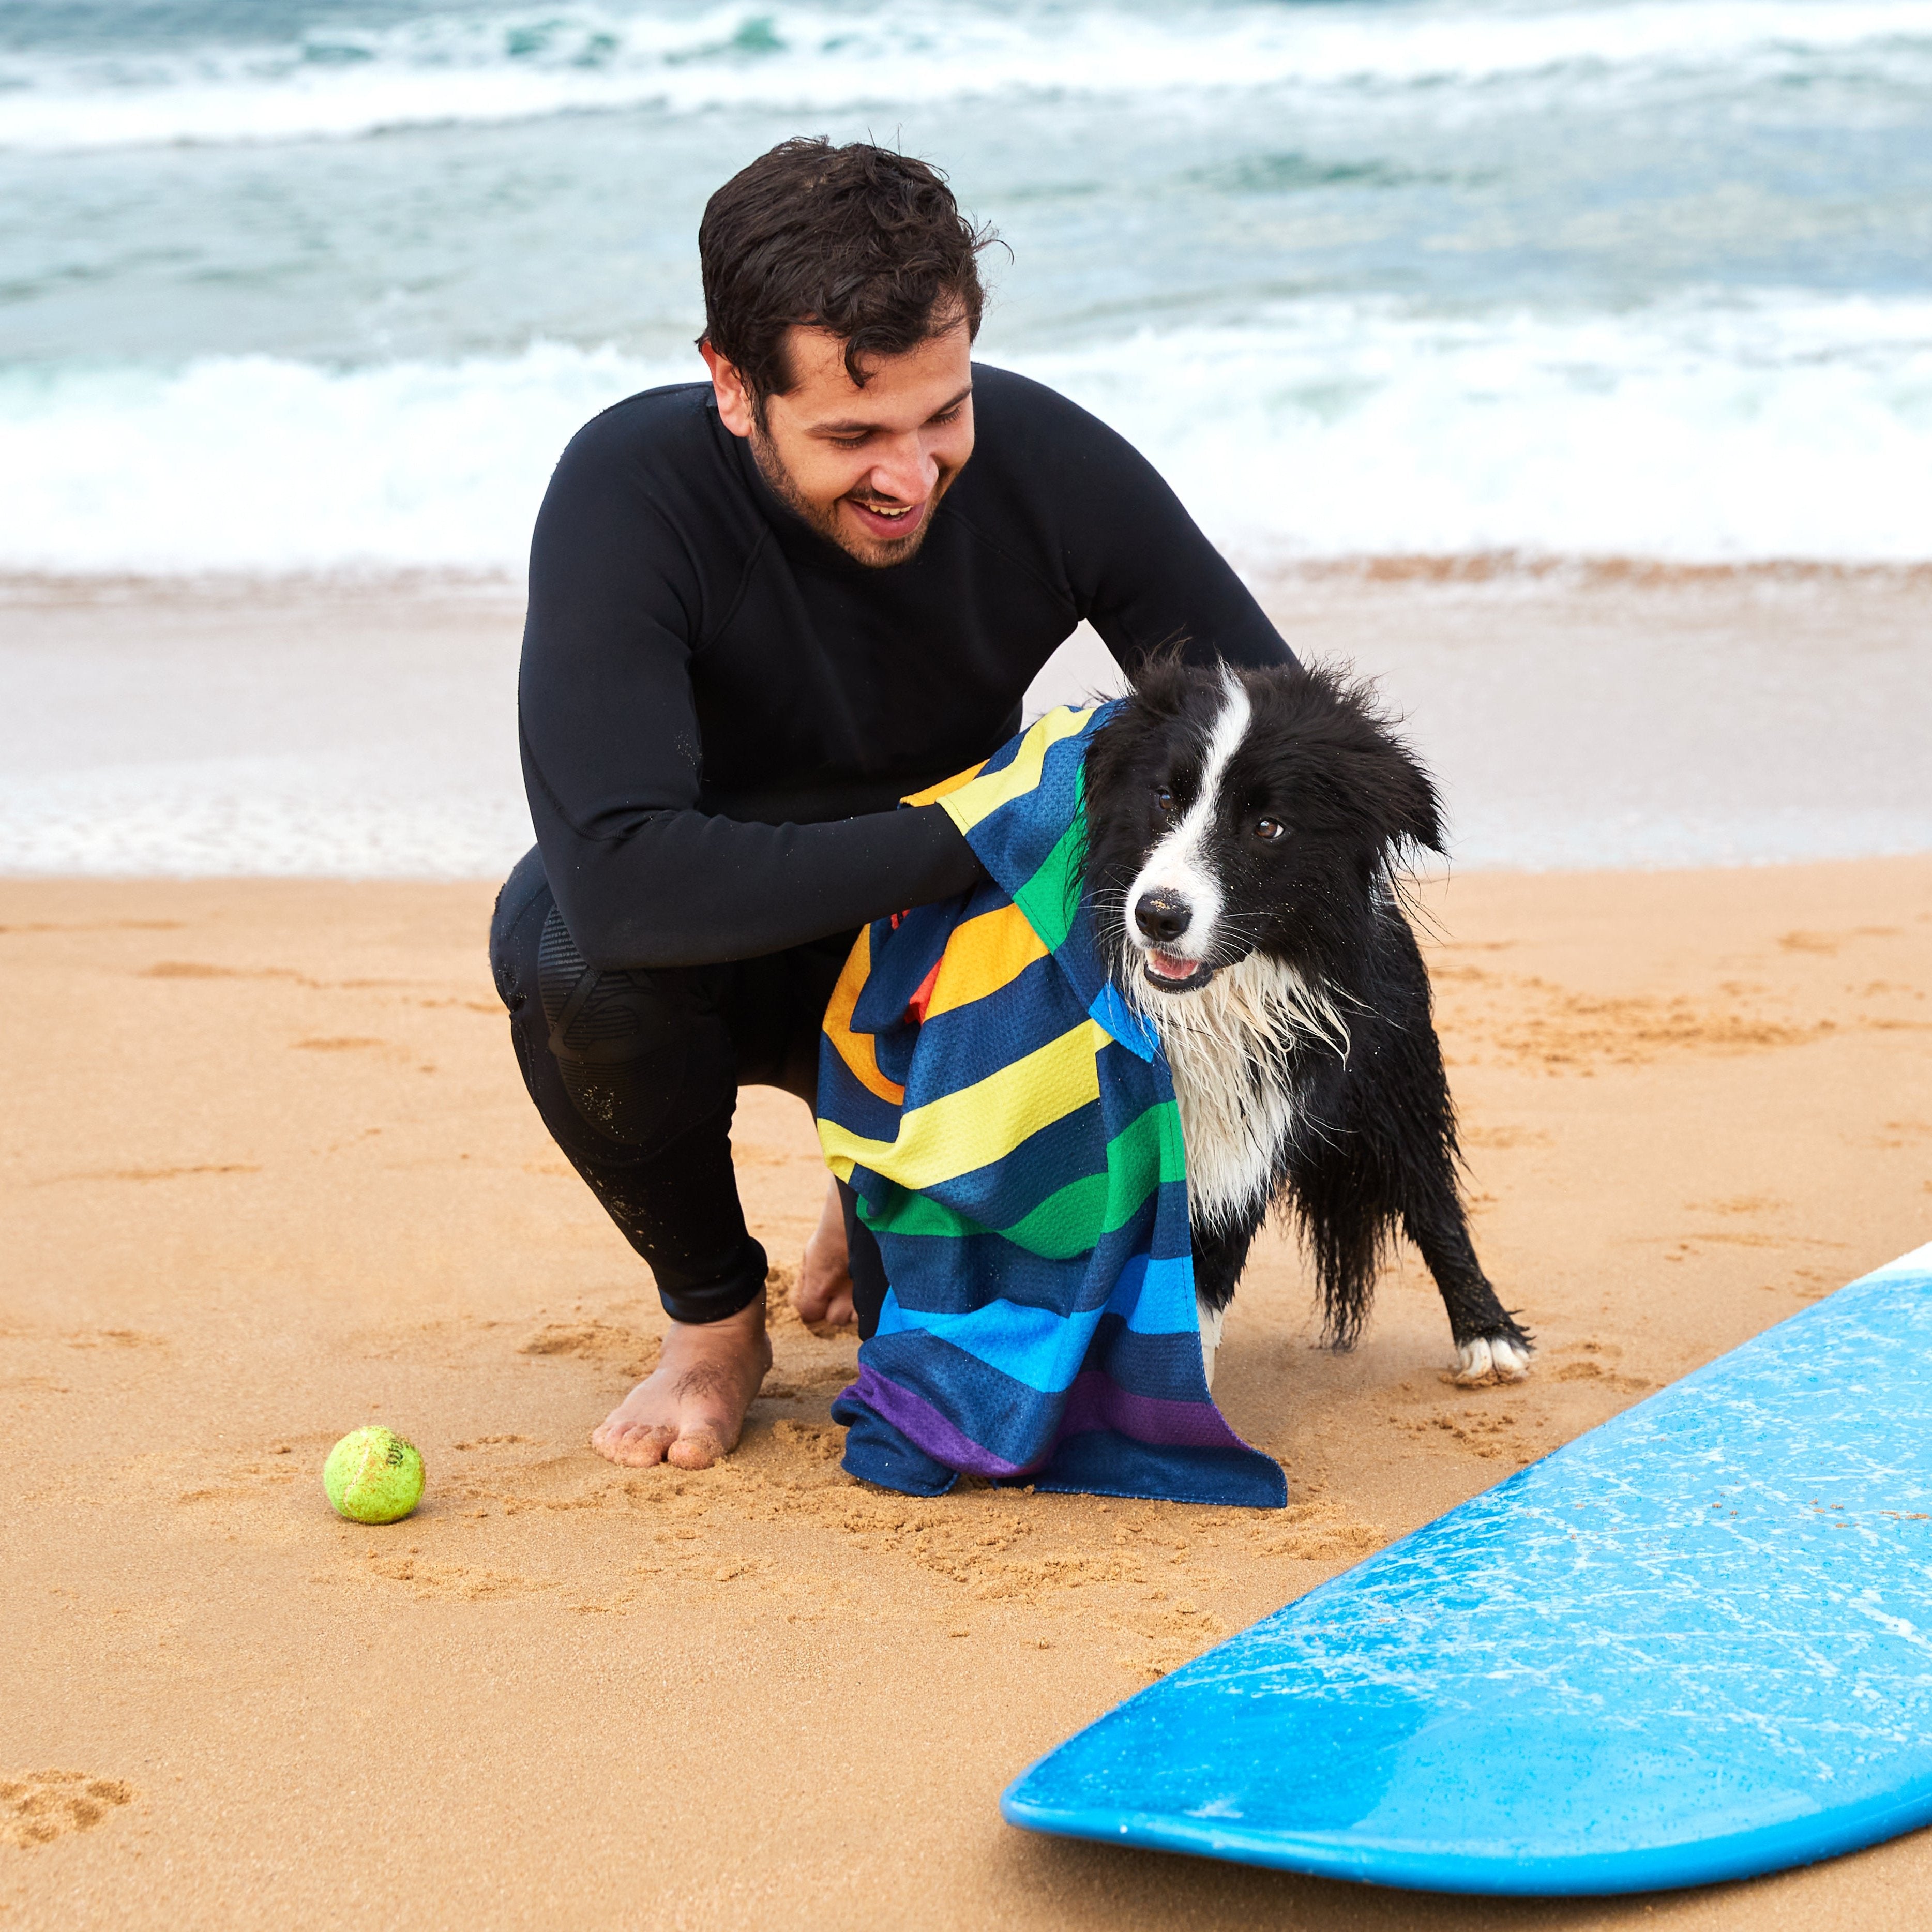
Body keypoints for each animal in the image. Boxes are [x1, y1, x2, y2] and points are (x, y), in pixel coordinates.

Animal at [1082, 657, 1530, 1383]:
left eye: (1268, 827)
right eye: (1166, 798)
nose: (1157, 915)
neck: (1205, 1010)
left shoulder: (1235, 1151)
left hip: (1394, 1082)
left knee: (1432, 1196)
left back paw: (1490, 1338)